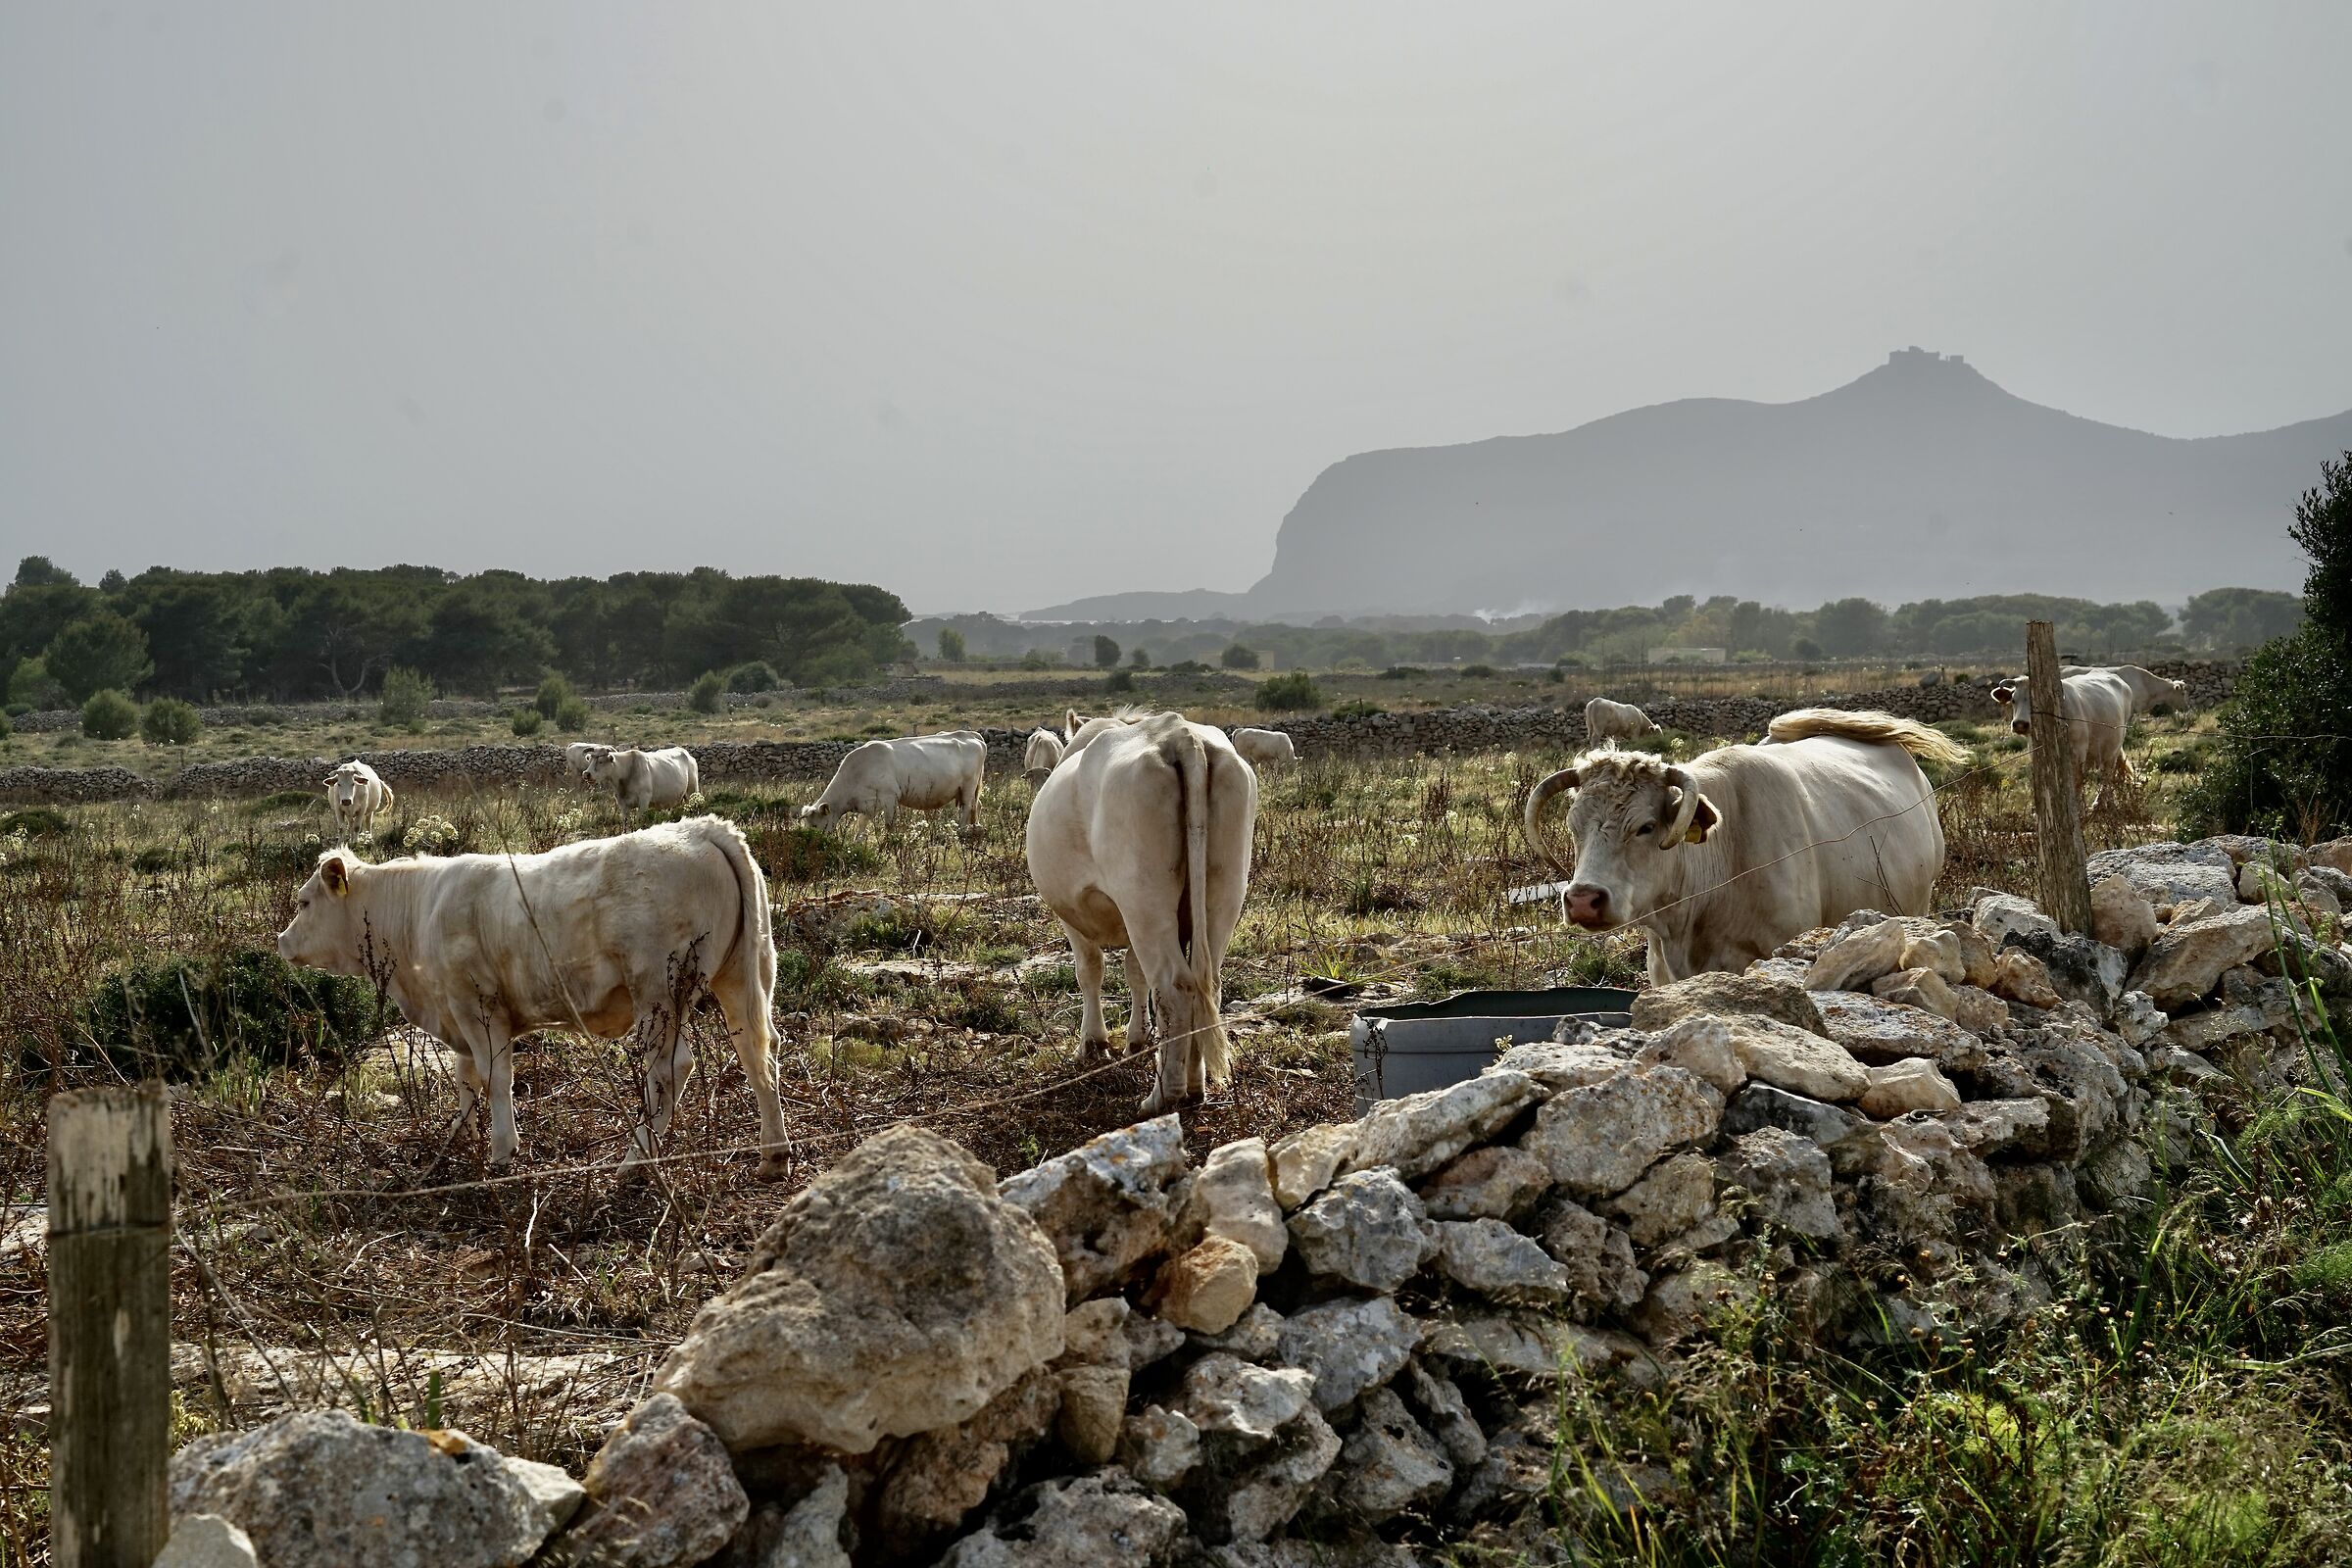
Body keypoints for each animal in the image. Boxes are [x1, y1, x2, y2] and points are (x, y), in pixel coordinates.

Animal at [275, 816, 789, 1177]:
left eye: (304, 902)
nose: (281, 941)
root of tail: (702, 828)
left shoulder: (477, 1006)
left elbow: (495, 1077)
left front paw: (502, 1151)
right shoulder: (459, 1013)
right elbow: (466, 1078)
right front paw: (457, 1136)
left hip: (656, 992)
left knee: (670, 1070)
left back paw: (636, 1160)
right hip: (740, 978)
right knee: (757, 1052)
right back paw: (774, 1155)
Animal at [801, 730, 985, 833]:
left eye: (815, 826)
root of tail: (969, 734)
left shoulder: (889, 798)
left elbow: (889, 826)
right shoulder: (867, 804)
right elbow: (861, 826)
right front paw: (857, 844)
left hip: (968, 785)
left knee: (968, 806)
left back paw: (960, 830)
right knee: (976, 805)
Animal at [1027, 710, 1257, 1112]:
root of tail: (1179, 735)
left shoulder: (1073, 913)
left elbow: (1090, 972)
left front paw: (1093, 1043)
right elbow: (1135, 975)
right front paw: (1135, 1039)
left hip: (1144, 901)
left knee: (1174, 987)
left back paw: (1163, 1095)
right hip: (1221, 893)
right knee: (1205, 984)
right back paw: (1195, 1085)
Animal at [1990, 670, 2135, 803]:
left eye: (2036, 701)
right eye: (2014, 700)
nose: (2020, 724)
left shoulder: (2078, 752)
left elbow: (2076, 782)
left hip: (2112, 750)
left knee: (2107, 776)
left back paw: (2100, 804)